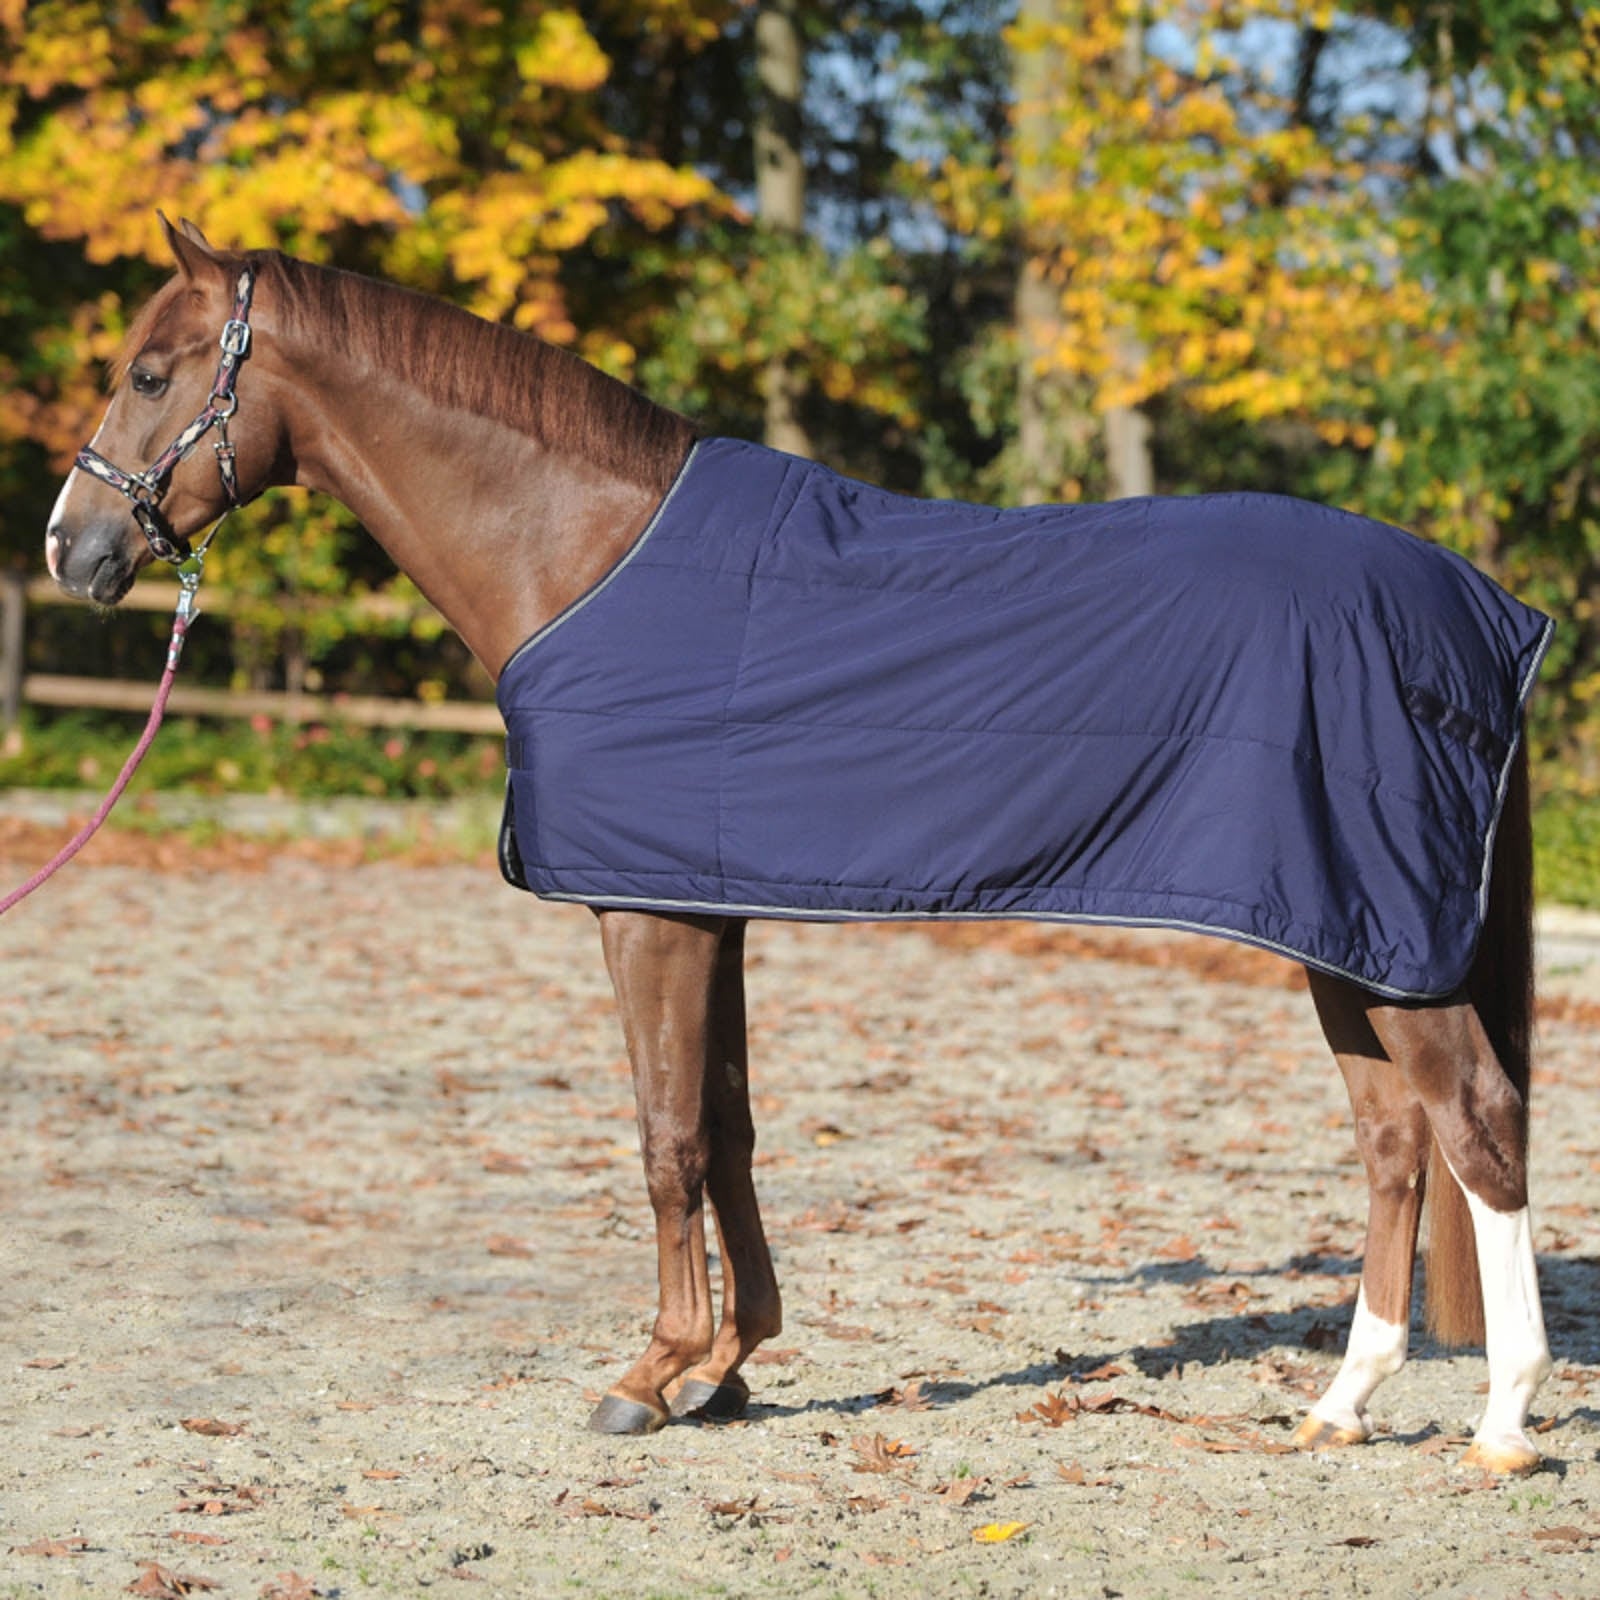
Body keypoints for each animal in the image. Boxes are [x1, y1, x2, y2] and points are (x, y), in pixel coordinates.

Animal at [45, 218, 1554, 1471]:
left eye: (149, 374)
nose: (71, 548)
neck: (584, 551)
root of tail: (1480, 606)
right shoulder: (703, 902)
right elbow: (728, 1125)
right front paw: (727, 1363)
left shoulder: (645, 913)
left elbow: (663, 1135)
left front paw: (648, 1373)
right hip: (1344, 937)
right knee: (1395, 1141)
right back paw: (1342, 1403)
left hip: (1378, 937)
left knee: (1476, 1121)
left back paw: (1502, 1422)